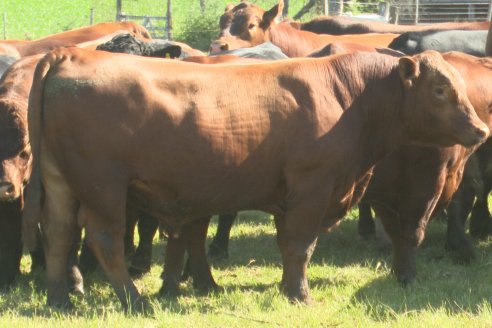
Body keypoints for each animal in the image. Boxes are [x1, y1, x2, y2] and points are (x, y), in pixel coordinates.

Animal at [22, 46, 484, 310]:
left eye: (459, 86)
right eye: (440, 90)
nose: (481, 129)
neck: (347, 96)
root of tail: (69, 55)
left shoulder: (287, 195)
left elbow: (288, 247)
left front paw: (286, 289)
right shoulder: (312, 188)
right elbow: (301, 245)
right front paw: (300, 295)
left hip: (60, 183)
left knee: (59, 234)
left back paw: (59, 300)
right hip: (103, 188)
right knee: (103, 240)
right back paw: (135, 301)